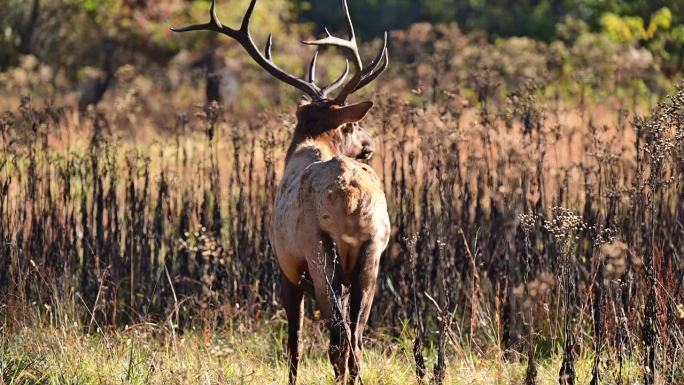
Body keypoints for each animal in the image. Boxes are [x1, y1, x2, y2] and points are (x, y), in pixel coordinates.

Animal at [171, 1, 390, 382]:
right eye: (352, 125)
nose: (369, 146)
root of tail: (352, 198)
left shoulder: (285, 265)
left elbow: (294, 342)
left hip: (318, 250)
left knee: (338, 338)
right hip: (371, 254)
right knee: (357, 338)